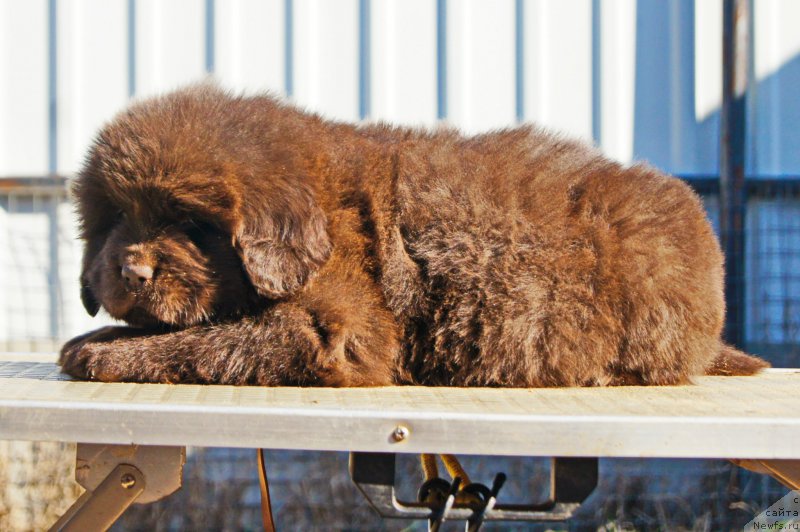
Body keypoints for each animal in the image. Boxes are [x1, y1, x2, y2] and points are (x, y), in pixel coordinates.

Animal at [59, 84, 764, 386]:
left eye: (191, 224)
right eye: (115, 218)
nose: (131, 272)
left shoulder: (339, 329)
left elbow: (211, 340)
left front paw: (106, 356)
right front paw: (96, 336)